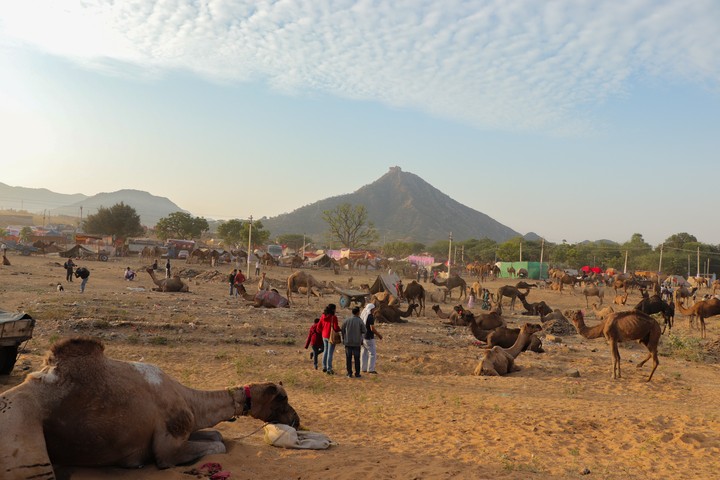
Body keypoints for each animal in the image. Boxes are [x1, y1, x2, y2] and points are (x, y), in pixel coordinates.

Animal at [0, 337, 300, 478]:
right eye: (282, 399)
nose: (296, 420)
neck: (190, 401)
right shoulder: (168, 447)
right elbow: (217, 445)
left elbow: (216, 435)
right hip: (24, 442)